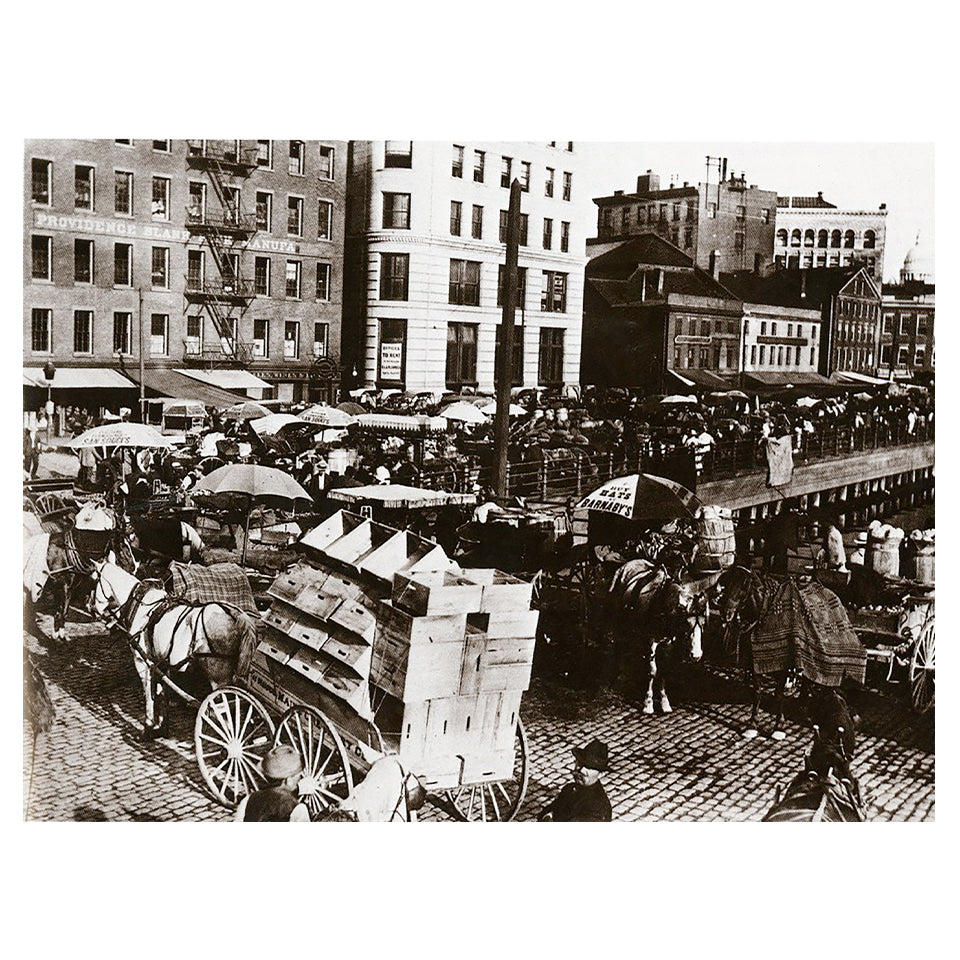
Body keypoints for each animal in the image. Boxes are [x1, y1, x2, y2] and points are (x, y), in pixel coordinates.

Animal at [91, 552, 258, 740]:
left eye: (94, 580)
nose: (92, 609)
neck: (140, 605)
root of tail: (236, 615)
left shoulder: (142, 662)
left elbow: (148, 693)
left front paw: (148, 727)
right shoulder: (160, 662)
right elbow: (161, 692)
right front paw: (161, 727)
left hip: (218, 679)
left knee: (227, 710)